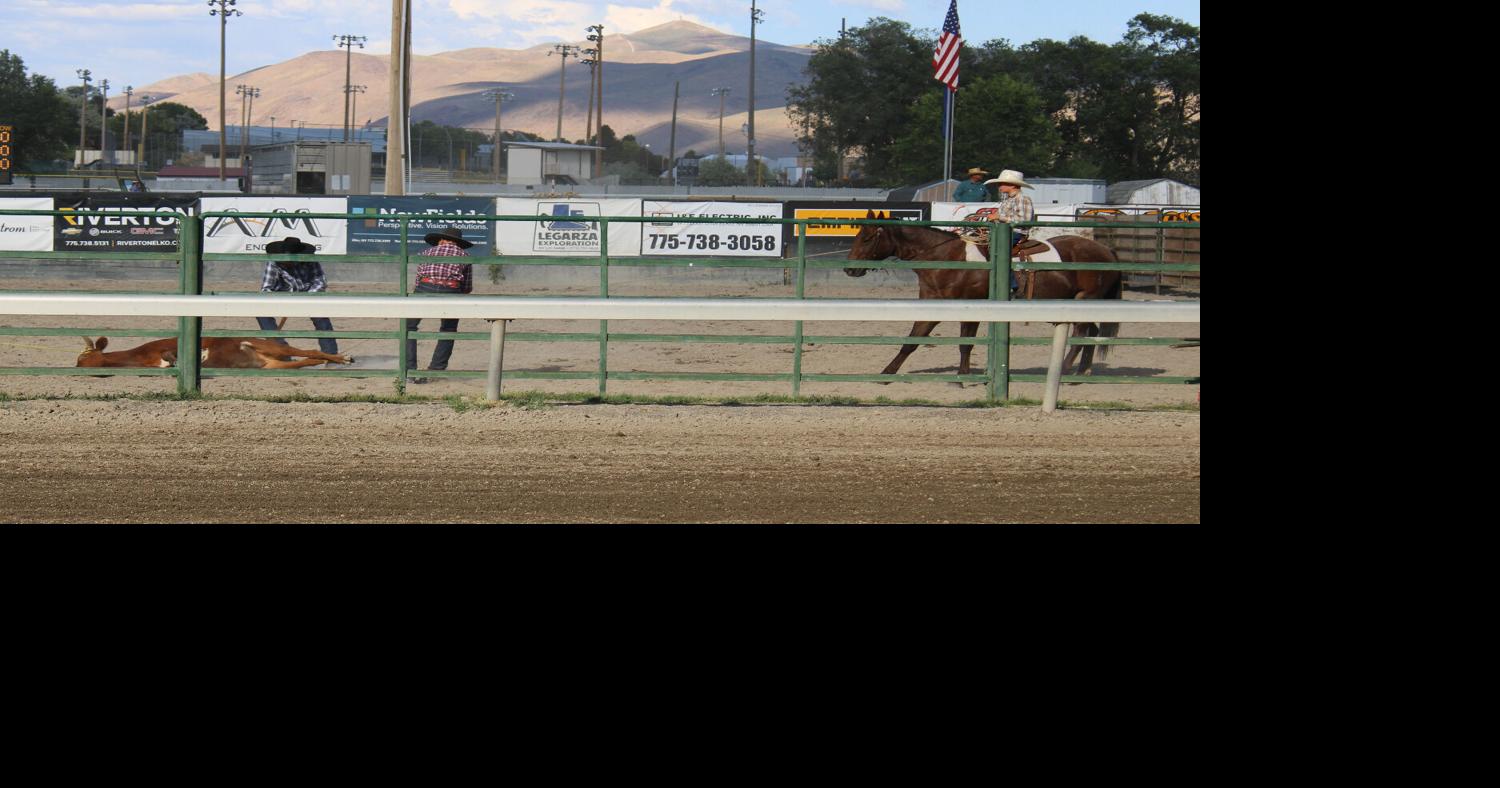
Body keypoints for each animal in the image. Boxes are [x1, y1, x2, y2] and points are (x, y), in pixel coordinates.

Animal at [846, 211, 1128, 378]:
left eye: (868, 238)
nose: (849, 269)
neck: (948, 258)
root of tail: (1107, 250)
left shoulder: (971, 308)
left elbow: (965, 344)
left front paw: (963, 376)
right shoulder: (933, 305)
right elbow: (912, 341)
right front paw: (886, 373)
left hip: (1084, 299)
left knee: (1082, 332)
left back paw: (1067, 368)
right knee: (1090, 331)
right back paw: (1082, 371)